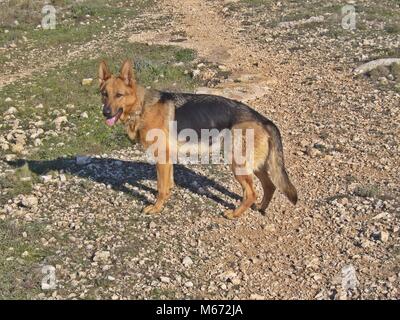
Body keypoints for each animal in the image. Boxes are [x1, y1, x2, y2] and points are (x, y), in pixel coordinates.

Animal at [98, 60, 296, 219]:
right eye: (104, 94)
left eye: (119, 95)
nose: (105, 113)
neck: (141, 107)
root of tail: (264, 120)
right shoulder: (167, 160)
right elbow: (168, 184)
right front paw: (166, 199)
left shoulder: (162, 159)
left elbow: (161, 188)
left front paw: (156, 208)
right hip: (255, 165)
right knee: (270, 186)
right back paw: (260, 207)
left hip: (238, 164)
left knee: (251, 193)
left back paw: (235, 214)